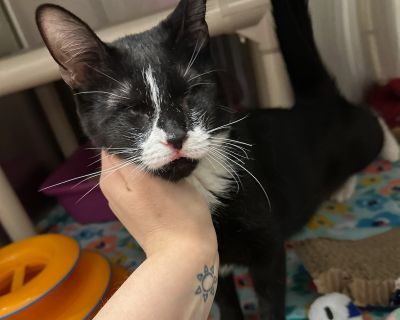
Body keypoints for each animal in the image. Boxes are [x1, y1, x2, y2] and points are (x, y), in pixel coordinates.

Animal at [36, 1, 396, 318]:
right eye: (132, 109)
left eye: (191, 93)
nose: (175, 136)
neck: (201, 185)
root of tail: (312, 101)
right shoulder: (212, 262)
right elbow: (221, 298)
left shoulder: (268, 250)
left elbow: (270, 299)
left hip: (356, 139)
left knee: (372, 121)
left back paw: (382, 155)